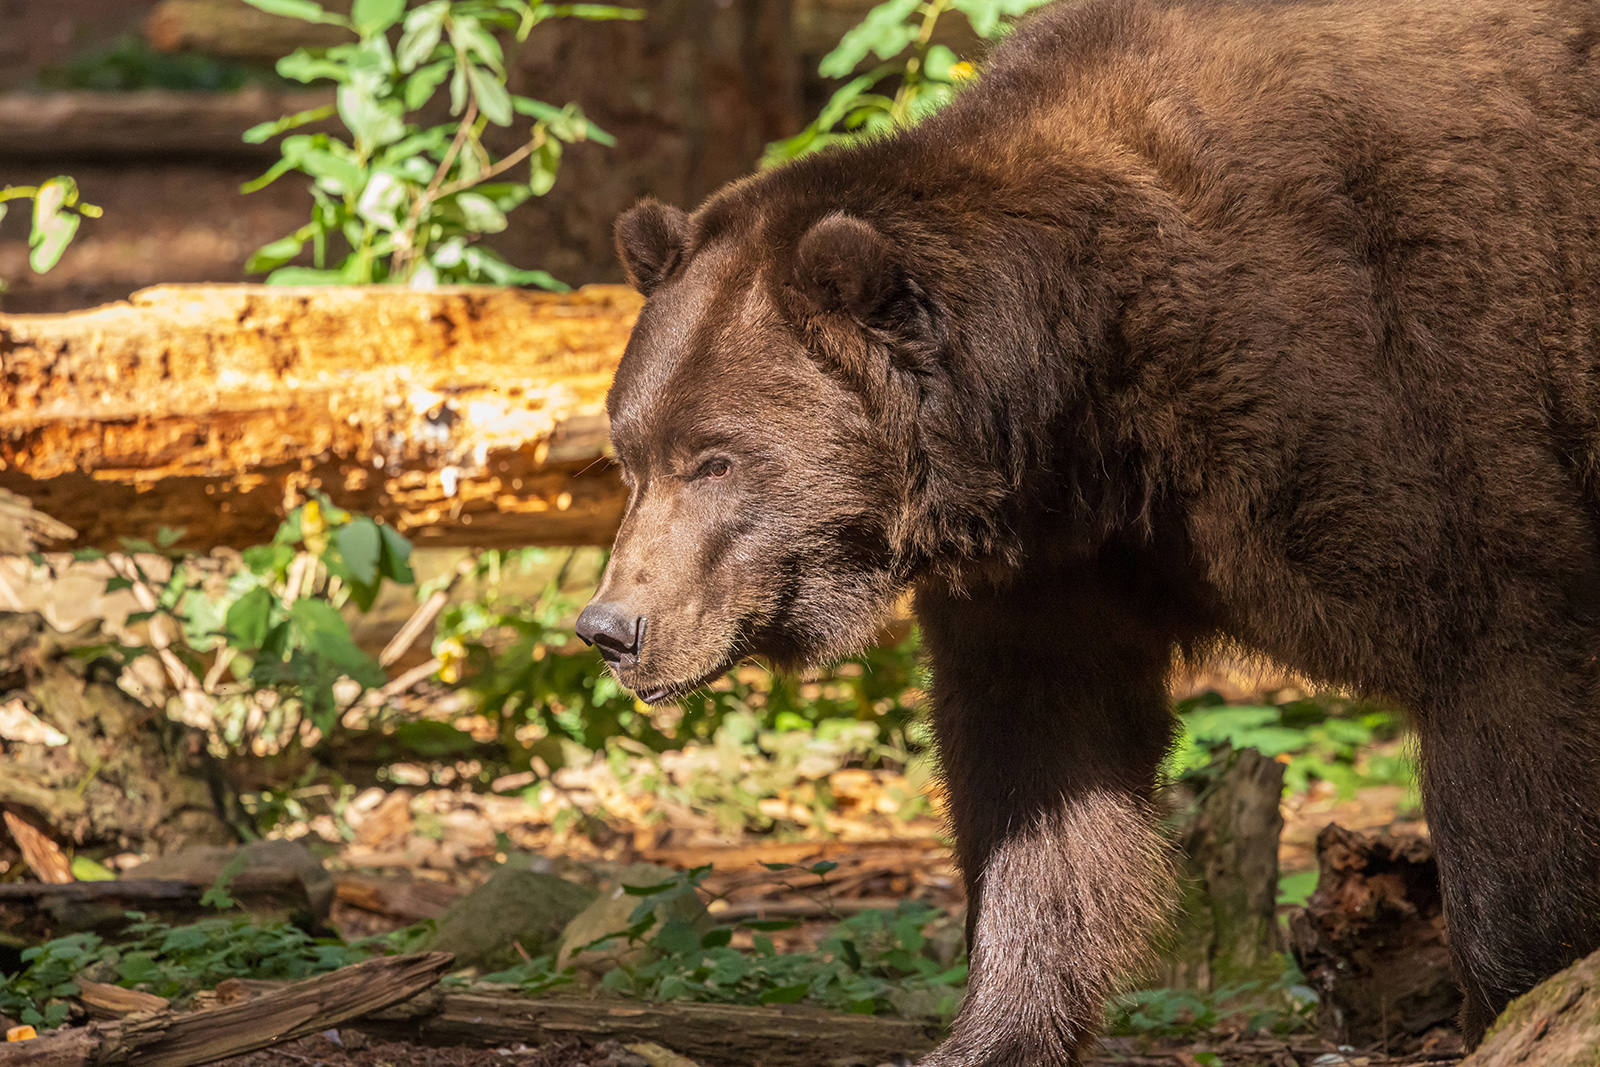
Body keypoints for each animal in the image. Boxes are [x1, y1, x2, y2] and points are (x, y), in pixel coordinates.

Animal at [576, 4, 1600, 1062]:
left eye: (716, 459)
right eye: (630, 454)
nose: (612, 628)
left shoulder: (1403, 389)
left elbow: (1502, 680)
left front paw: (1521, 995)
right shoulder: (1062, 560)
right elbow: (1044, 766)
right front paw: (992, 1028)